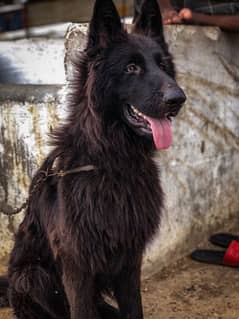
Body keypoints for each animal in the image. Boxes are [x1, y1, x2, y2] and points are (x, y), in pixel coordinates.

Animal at [4, 0, 185, 319]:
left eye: (164, 66)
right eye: (131, 68)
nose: (178, 99)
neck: (113, 161)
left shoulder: (129, 260)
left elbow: (134, 309)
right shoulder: (77, 266)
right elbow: (81, 310)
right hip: (33, 276)